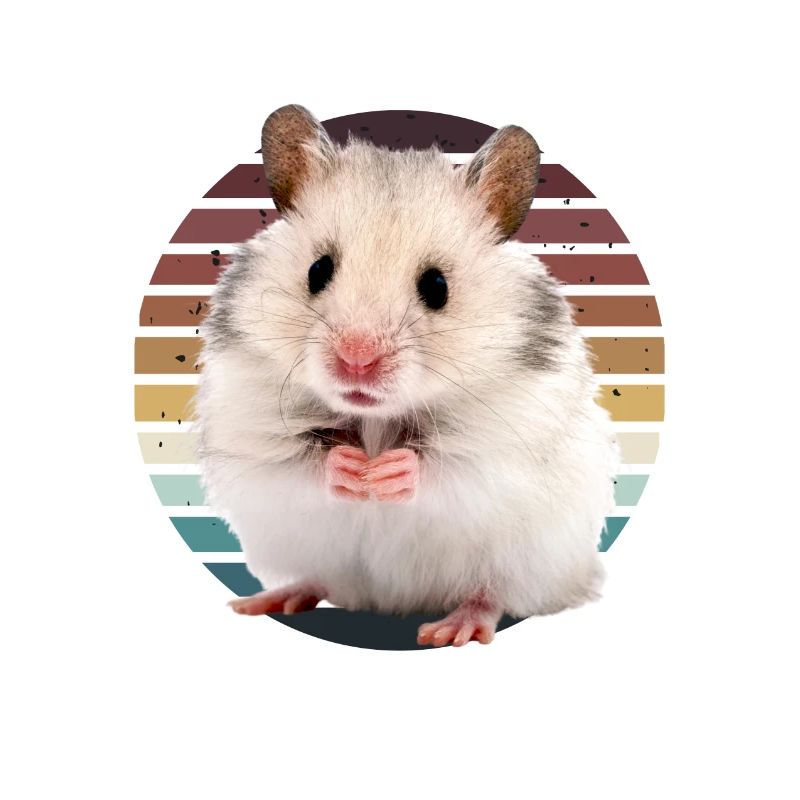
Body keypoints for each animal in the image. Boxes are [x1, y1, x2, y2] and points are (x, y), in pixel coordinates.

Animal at [194, 104, 620, 647]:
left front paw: (387, 473)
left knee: (493, 594)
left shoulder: (506, 451)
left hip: (532, 560)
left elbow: (449, 469)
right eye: (317, 270)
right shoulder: (251, 437)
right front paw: (352, 469)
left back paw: (451, 629)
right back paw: (266, 600)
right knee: (318, 578)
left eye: (436, 286)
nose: (357, 360)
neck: (376, 419)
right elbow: (296, 465)